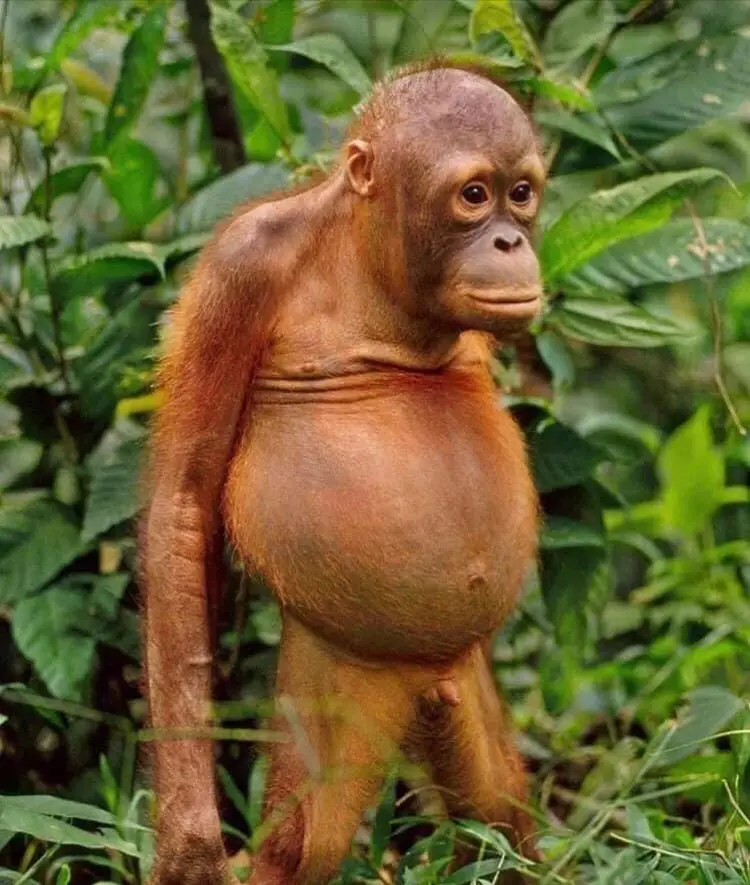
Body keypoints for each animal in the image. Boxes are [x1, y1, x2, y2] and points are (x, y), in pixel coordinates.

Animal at [142, 61, 545, 885]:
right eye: (474, 195)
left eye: (522, 191)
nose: (510, 238)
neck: (366, 261)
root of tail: (422, 680)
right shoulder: (243, 264)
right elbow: (184, 503)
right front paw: (191, 843)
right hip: (343, 684)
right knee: (297, 847)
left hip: (463, 688)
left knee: (502, 820)